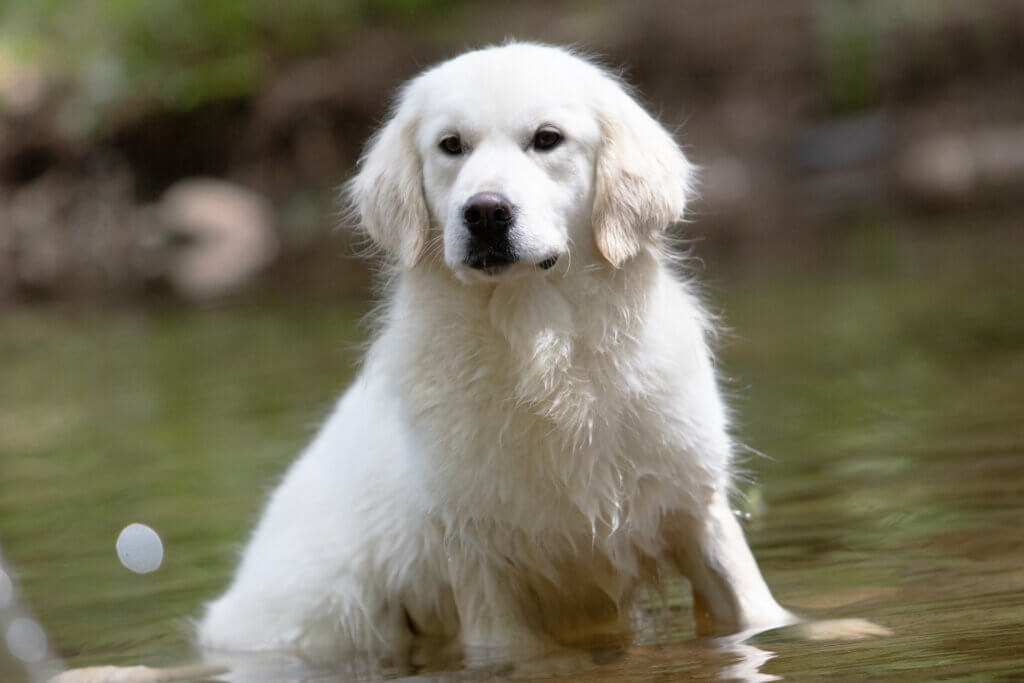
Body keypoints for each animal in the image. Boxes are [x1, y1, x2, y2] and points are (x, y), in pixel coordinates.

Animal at [195, 42, 794, 667]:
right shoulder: (485, 573)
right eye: (451, 145)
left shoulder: (700, 515)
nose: (484, 212)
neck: (542, 352)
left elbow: (758, 615)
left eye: (547, 138)